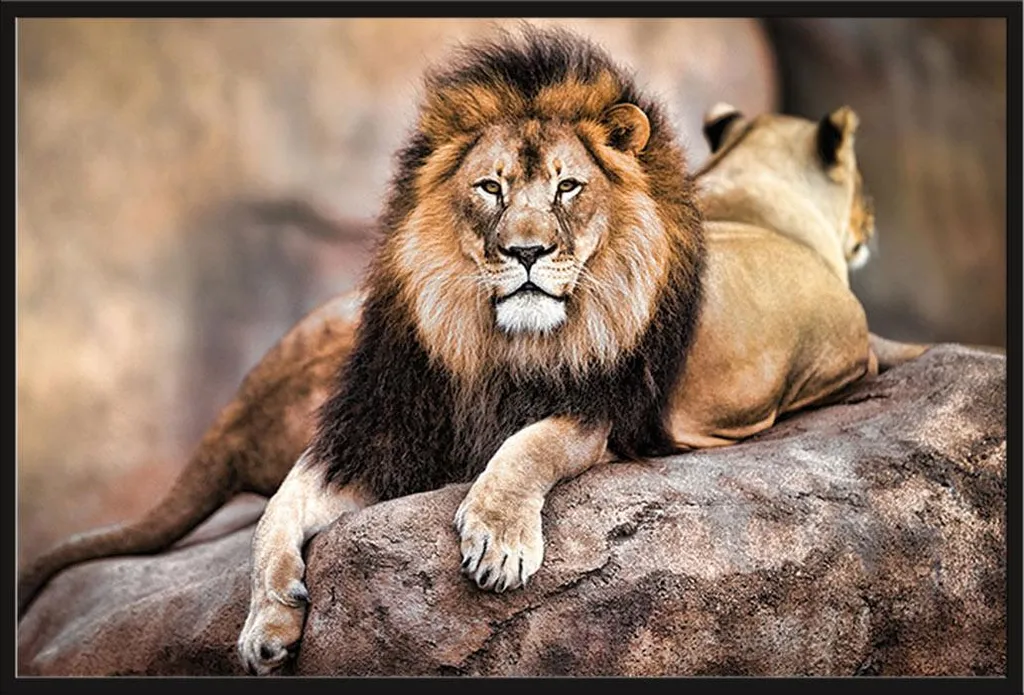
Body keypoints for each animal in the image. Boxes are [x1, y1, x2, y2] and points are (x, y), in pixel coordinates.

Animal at [17, 28, 929, 677]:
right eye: (490, 187)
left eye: (568, 186)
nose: (524, 252)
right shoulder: (379, 433)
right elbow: (278, 510)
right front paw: (267, 620)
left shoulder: (597, 407)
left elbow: (528, 443)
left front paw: (495, 535)